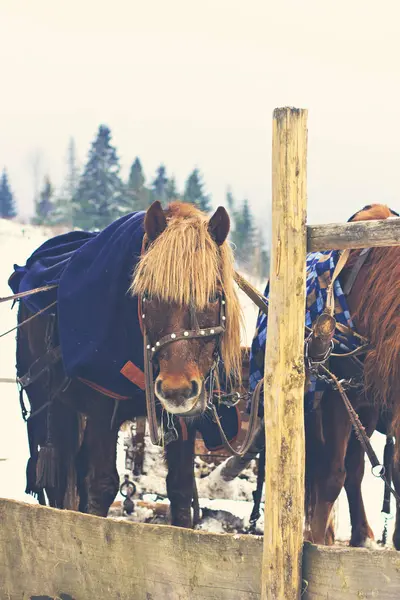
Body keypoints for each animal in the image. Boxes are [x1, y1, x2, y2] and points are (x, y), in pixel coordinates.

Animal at [15, 200, 242, 524]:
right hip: (49, 404)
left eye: (213, 296)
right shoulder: (101, 409)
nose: (176, 390)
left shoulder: (185, 421)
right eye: (148, 294)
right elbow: (100, 486)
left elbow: (181, 490)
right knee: (58, 475)